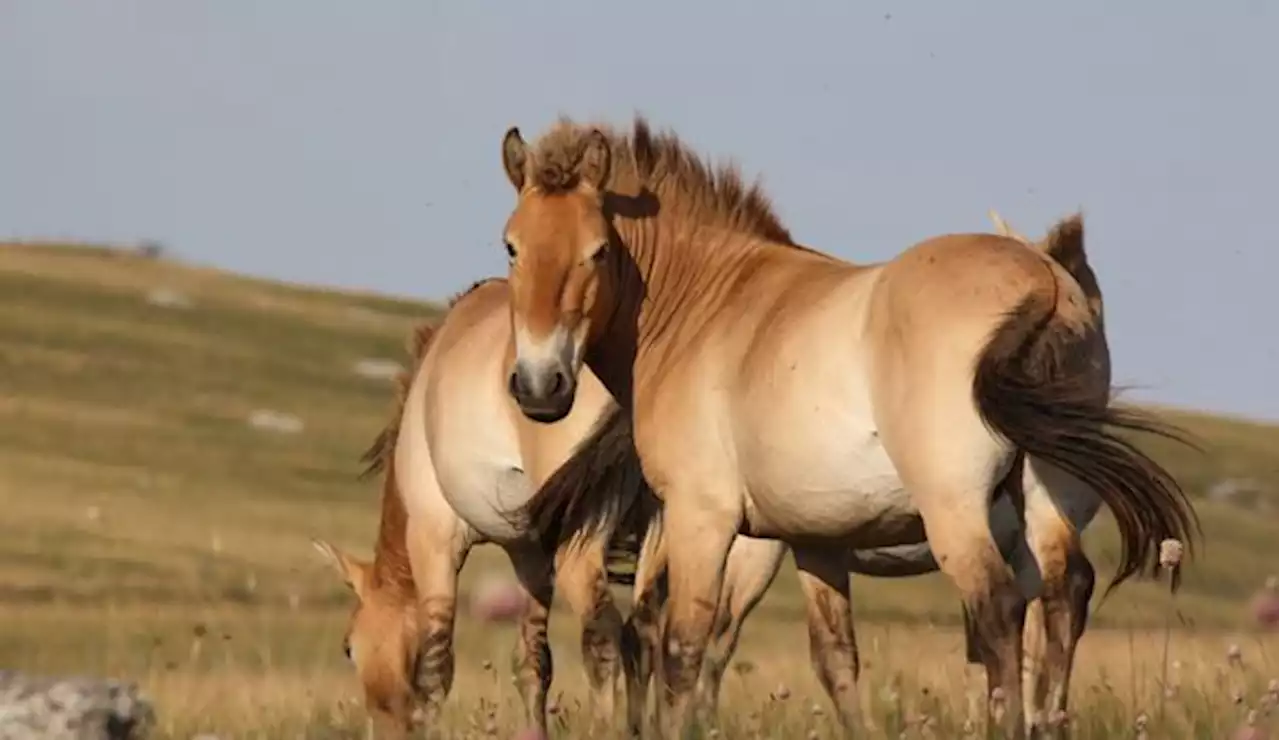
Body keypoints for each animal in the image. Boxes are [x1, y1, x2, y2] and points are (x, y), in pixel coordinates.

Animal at [491, 116, 1198, 737]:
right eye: (512, 246)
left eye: (597, 251)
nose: (540, 386)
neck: (708, 307)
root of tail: (1044, 280)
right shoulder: (817, 541)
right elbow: (835, 663)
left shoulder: (703, 520)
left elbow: (683, 651)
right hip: (1047, 501)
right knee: (1064, 593)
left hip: (954, 511)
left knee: (999, 613)